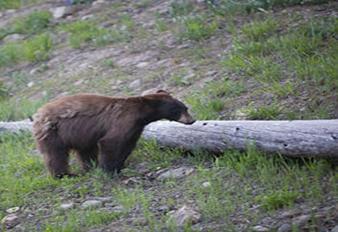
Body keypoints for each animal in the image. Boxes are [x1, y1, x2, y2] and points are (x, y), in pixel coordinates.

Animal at [32, 90, 195, 178]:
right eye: (181, 109)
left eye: (186, 107)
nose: (192, 120)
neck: (141, 114)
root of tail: (38, 113)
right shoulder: (123, 120)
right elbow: (111, 142)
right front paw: (109, 170)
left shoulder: (135, 128)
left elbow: (127, 145)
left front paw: (120, 165)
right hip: (53, 133)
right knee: (55, 155)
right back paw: (64, 175)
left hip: (80, 136)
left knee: (86, 151)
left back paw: (90, 167)